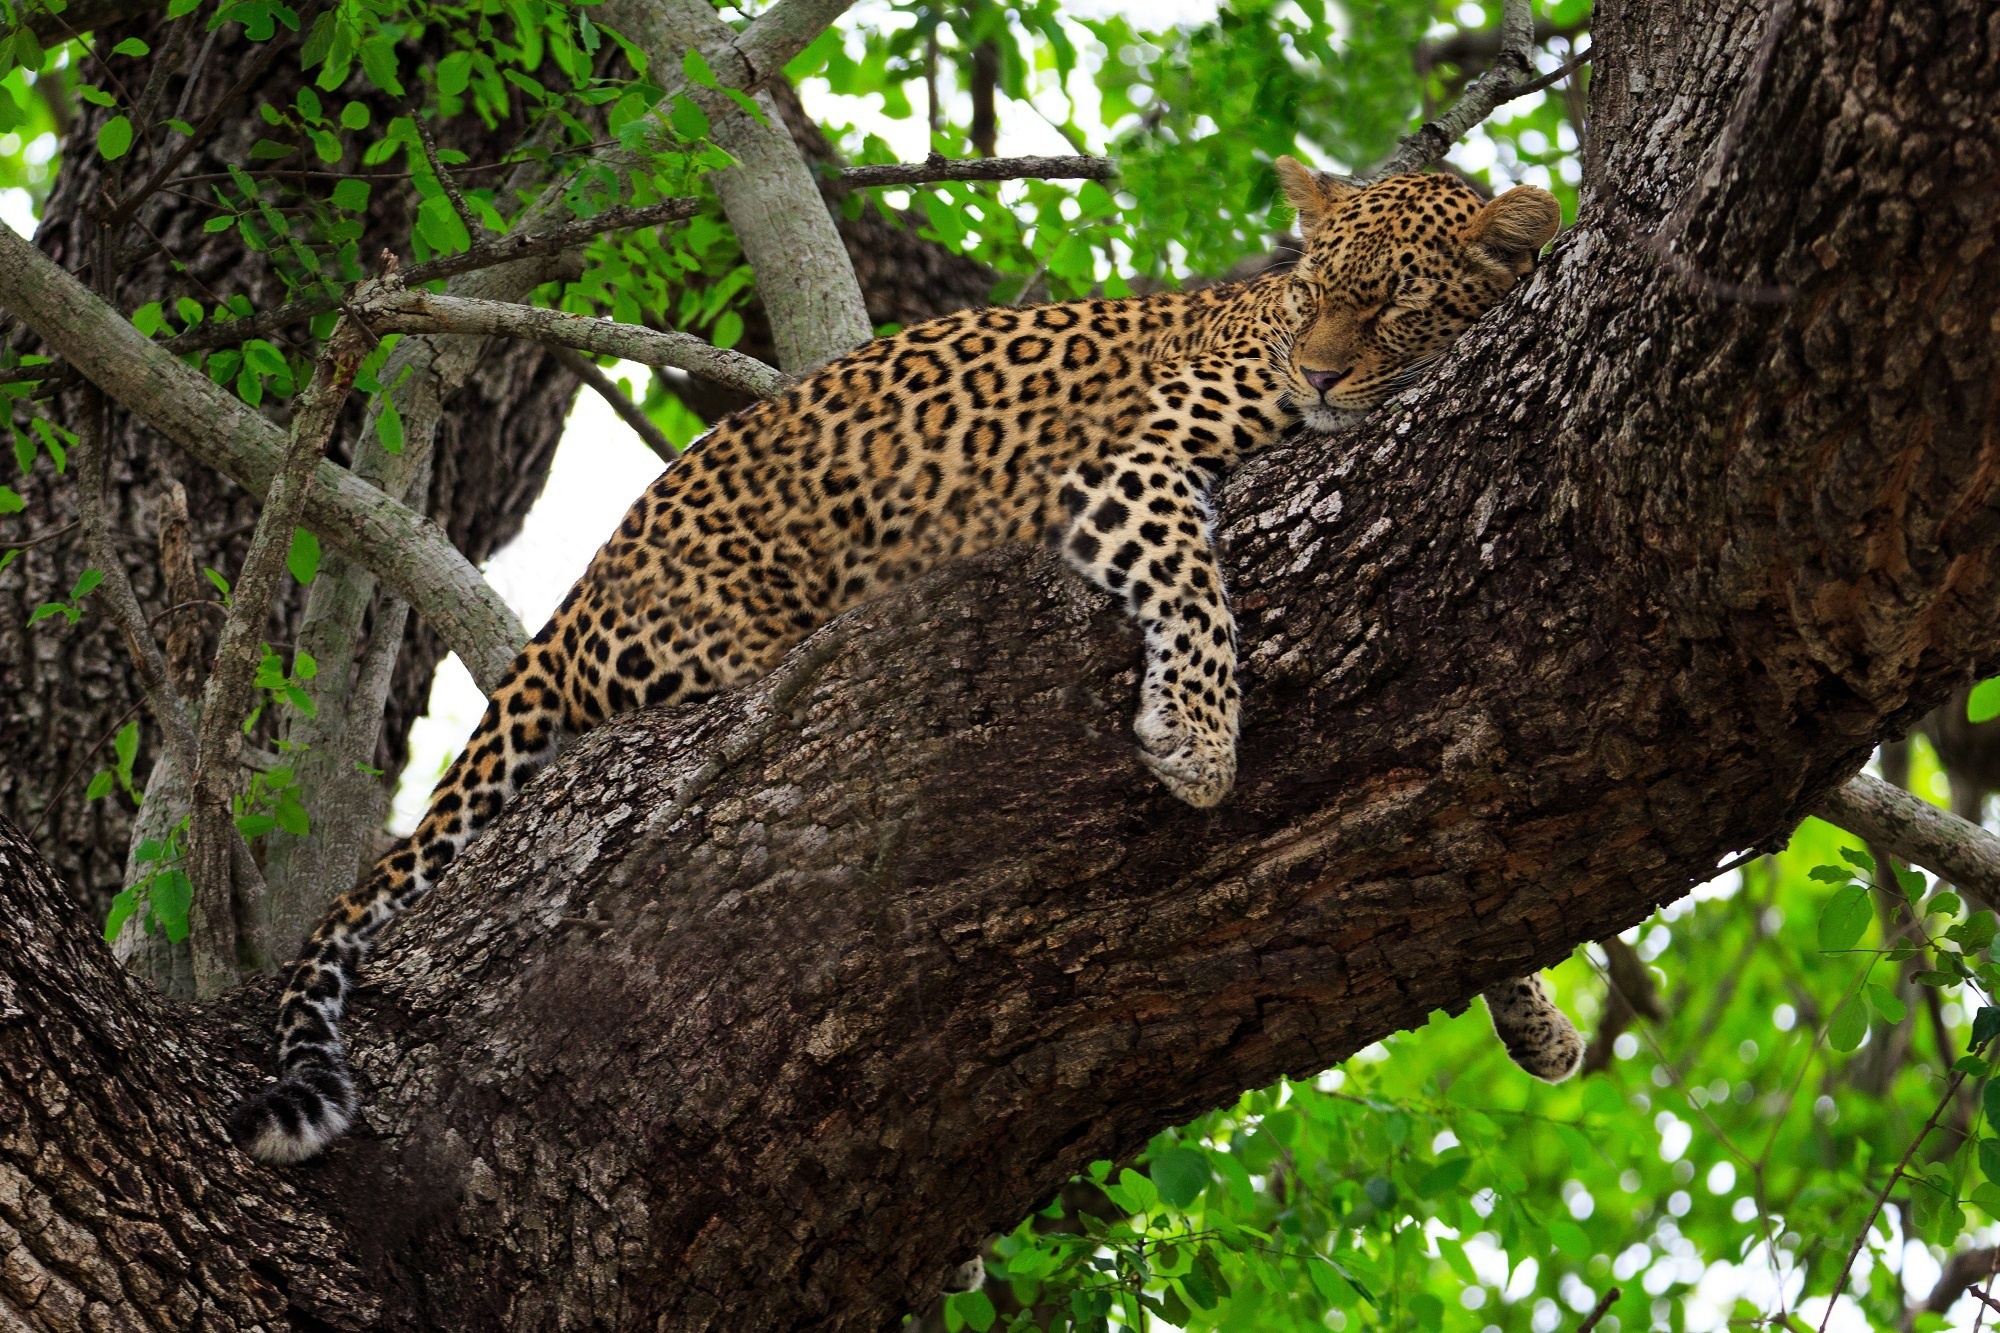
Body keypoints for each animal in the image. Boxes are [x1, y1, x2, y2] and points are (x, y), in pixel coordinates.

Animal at [230, 158, 1576, 1160]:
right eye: (1311, 299)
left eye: (1392, 304)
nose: (1319, 370)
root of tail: (585, 591)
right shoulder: (1114, 463)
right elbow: (1192, 584)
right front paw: (1197, 740)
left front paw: (1535, 1015)